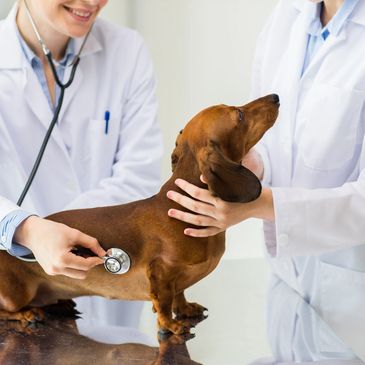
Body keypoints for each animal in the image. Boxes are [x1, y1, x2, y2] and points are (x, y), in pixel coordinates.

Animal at [0, 93, 278, 332]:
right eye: (239, 114)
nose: (275, 96)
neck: (180, 211)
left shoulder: (177, 280)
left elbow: (180, 293)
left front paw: (186, 308)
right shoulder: (162, 272)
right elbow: (164, 302)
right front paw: (170, 325)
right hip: (16, 295)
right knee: (8, 311)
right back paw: (27, 314)